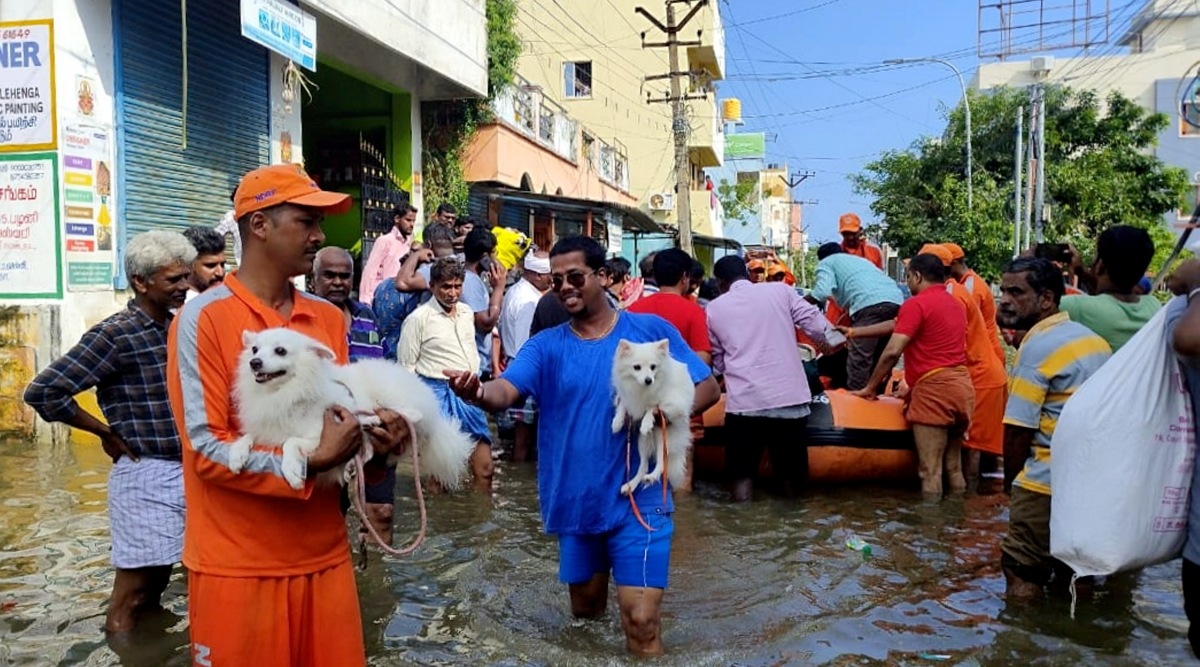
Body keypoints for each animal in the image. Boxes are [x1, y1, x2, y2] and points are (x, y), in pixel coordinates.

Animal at [231, 326, 475, 489]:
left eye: (280, 351)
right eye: (254, 350)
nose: (254, 363)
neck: (281, 392)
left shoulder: (320, 434)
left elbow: (290, 442)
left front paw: (292, 472)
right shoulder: (267, 430)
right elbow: (248, 436)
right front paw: (236, 455)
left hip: (389, 392)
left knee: (411, 413)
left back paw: (375, 417)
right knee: (368, 449)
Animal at [609, 338, 696, 494]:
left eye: (653, 367)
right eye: (637, 367)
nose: (648, 380)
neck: (642, 390)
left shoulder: (673, 404)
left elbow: (653, 407)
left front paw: (646, 423)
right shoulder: (628, 397)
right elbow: (623, 404)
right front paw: (617, 422)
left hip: (665, 438)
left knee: (662, 463)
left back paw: (652, 477)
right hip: (643, 442)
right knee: (643, 466)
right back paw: (631, 484)